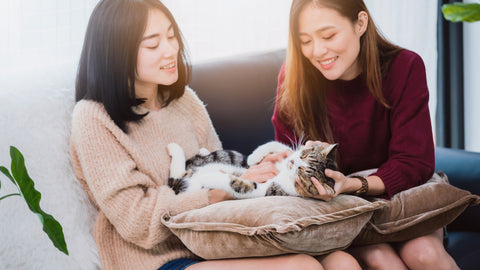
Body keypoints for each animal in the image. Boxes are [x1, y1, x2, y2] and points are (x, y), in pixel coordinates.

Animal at [168, 140, 338, 199]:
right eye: (305, 155)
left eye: (302, 171)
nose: (292, 162)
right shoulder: (284, 155)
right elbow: (279, 145)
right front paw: (254, 156)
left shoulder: (268, 189)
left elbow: (237, 184)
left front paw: (210, 178)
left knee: (179, 178)